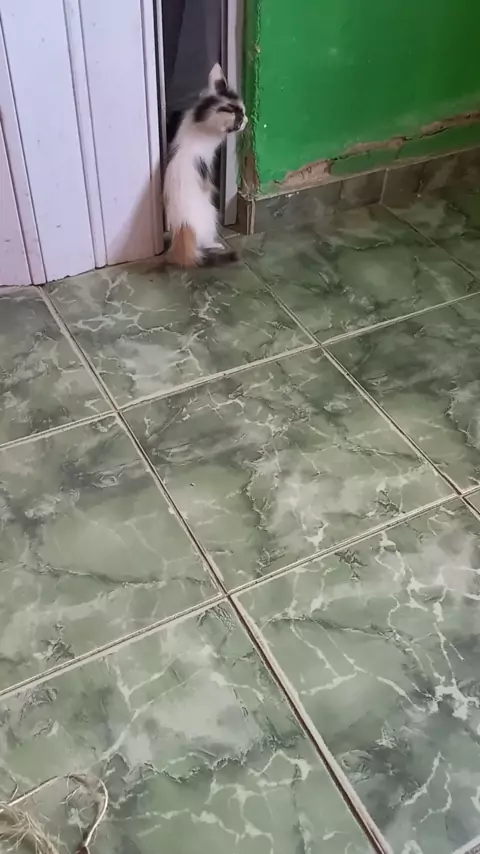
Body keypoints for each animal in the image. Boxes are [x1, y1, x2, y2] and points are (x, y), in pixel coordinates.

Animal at [164, 64, 247, 268]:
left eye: (243, 110)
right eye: (240, 120)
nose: (247, 119)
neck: (199, 116)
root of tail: (183, 227)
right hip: (211, 214)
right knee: (204, 242)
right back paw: (216, 245)